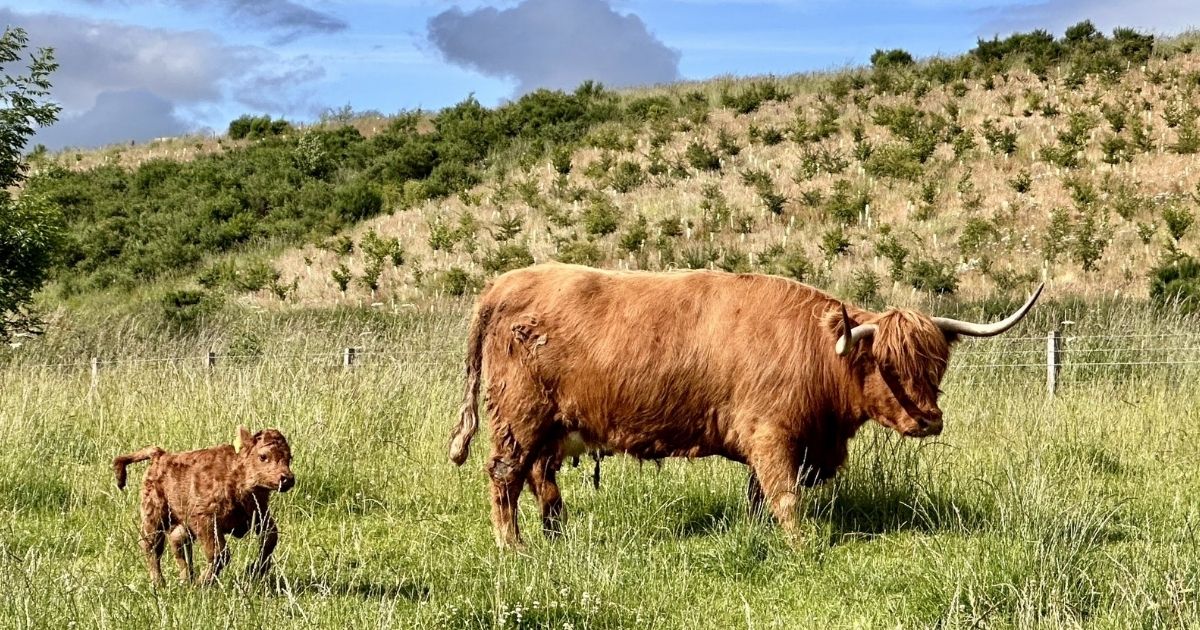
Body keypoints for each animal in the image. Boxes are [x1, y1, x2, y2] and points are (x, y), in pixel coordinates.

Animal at [448, 263, 1041, 547]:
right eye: (887, 365)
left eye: (936, 365)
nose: (929, 419)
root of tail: (503, 284)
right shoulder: (772, 436)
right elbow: (784, 497)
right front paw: (803, 548)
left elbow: (759, 497)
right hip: (519, 417)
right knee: (505, 474)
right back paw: (514, 547)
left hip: (548, 426)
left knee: (539, 477)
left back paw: (555, 534)